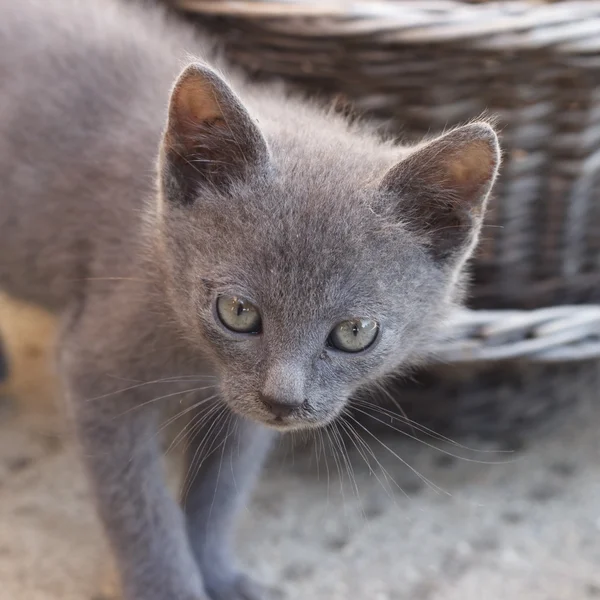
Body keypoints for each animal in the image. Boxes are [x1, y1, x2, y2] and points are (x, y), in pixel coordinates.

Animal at [0, 0, 500, 596]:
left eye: (354, 332)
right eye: (238, 312)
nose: (283, 400)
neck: (197, 359)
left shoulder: (238, 412)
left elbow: (220, 488)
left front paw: (217, 574)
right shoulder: (94, 369)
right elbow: (139, 506)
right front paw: (169, 586)